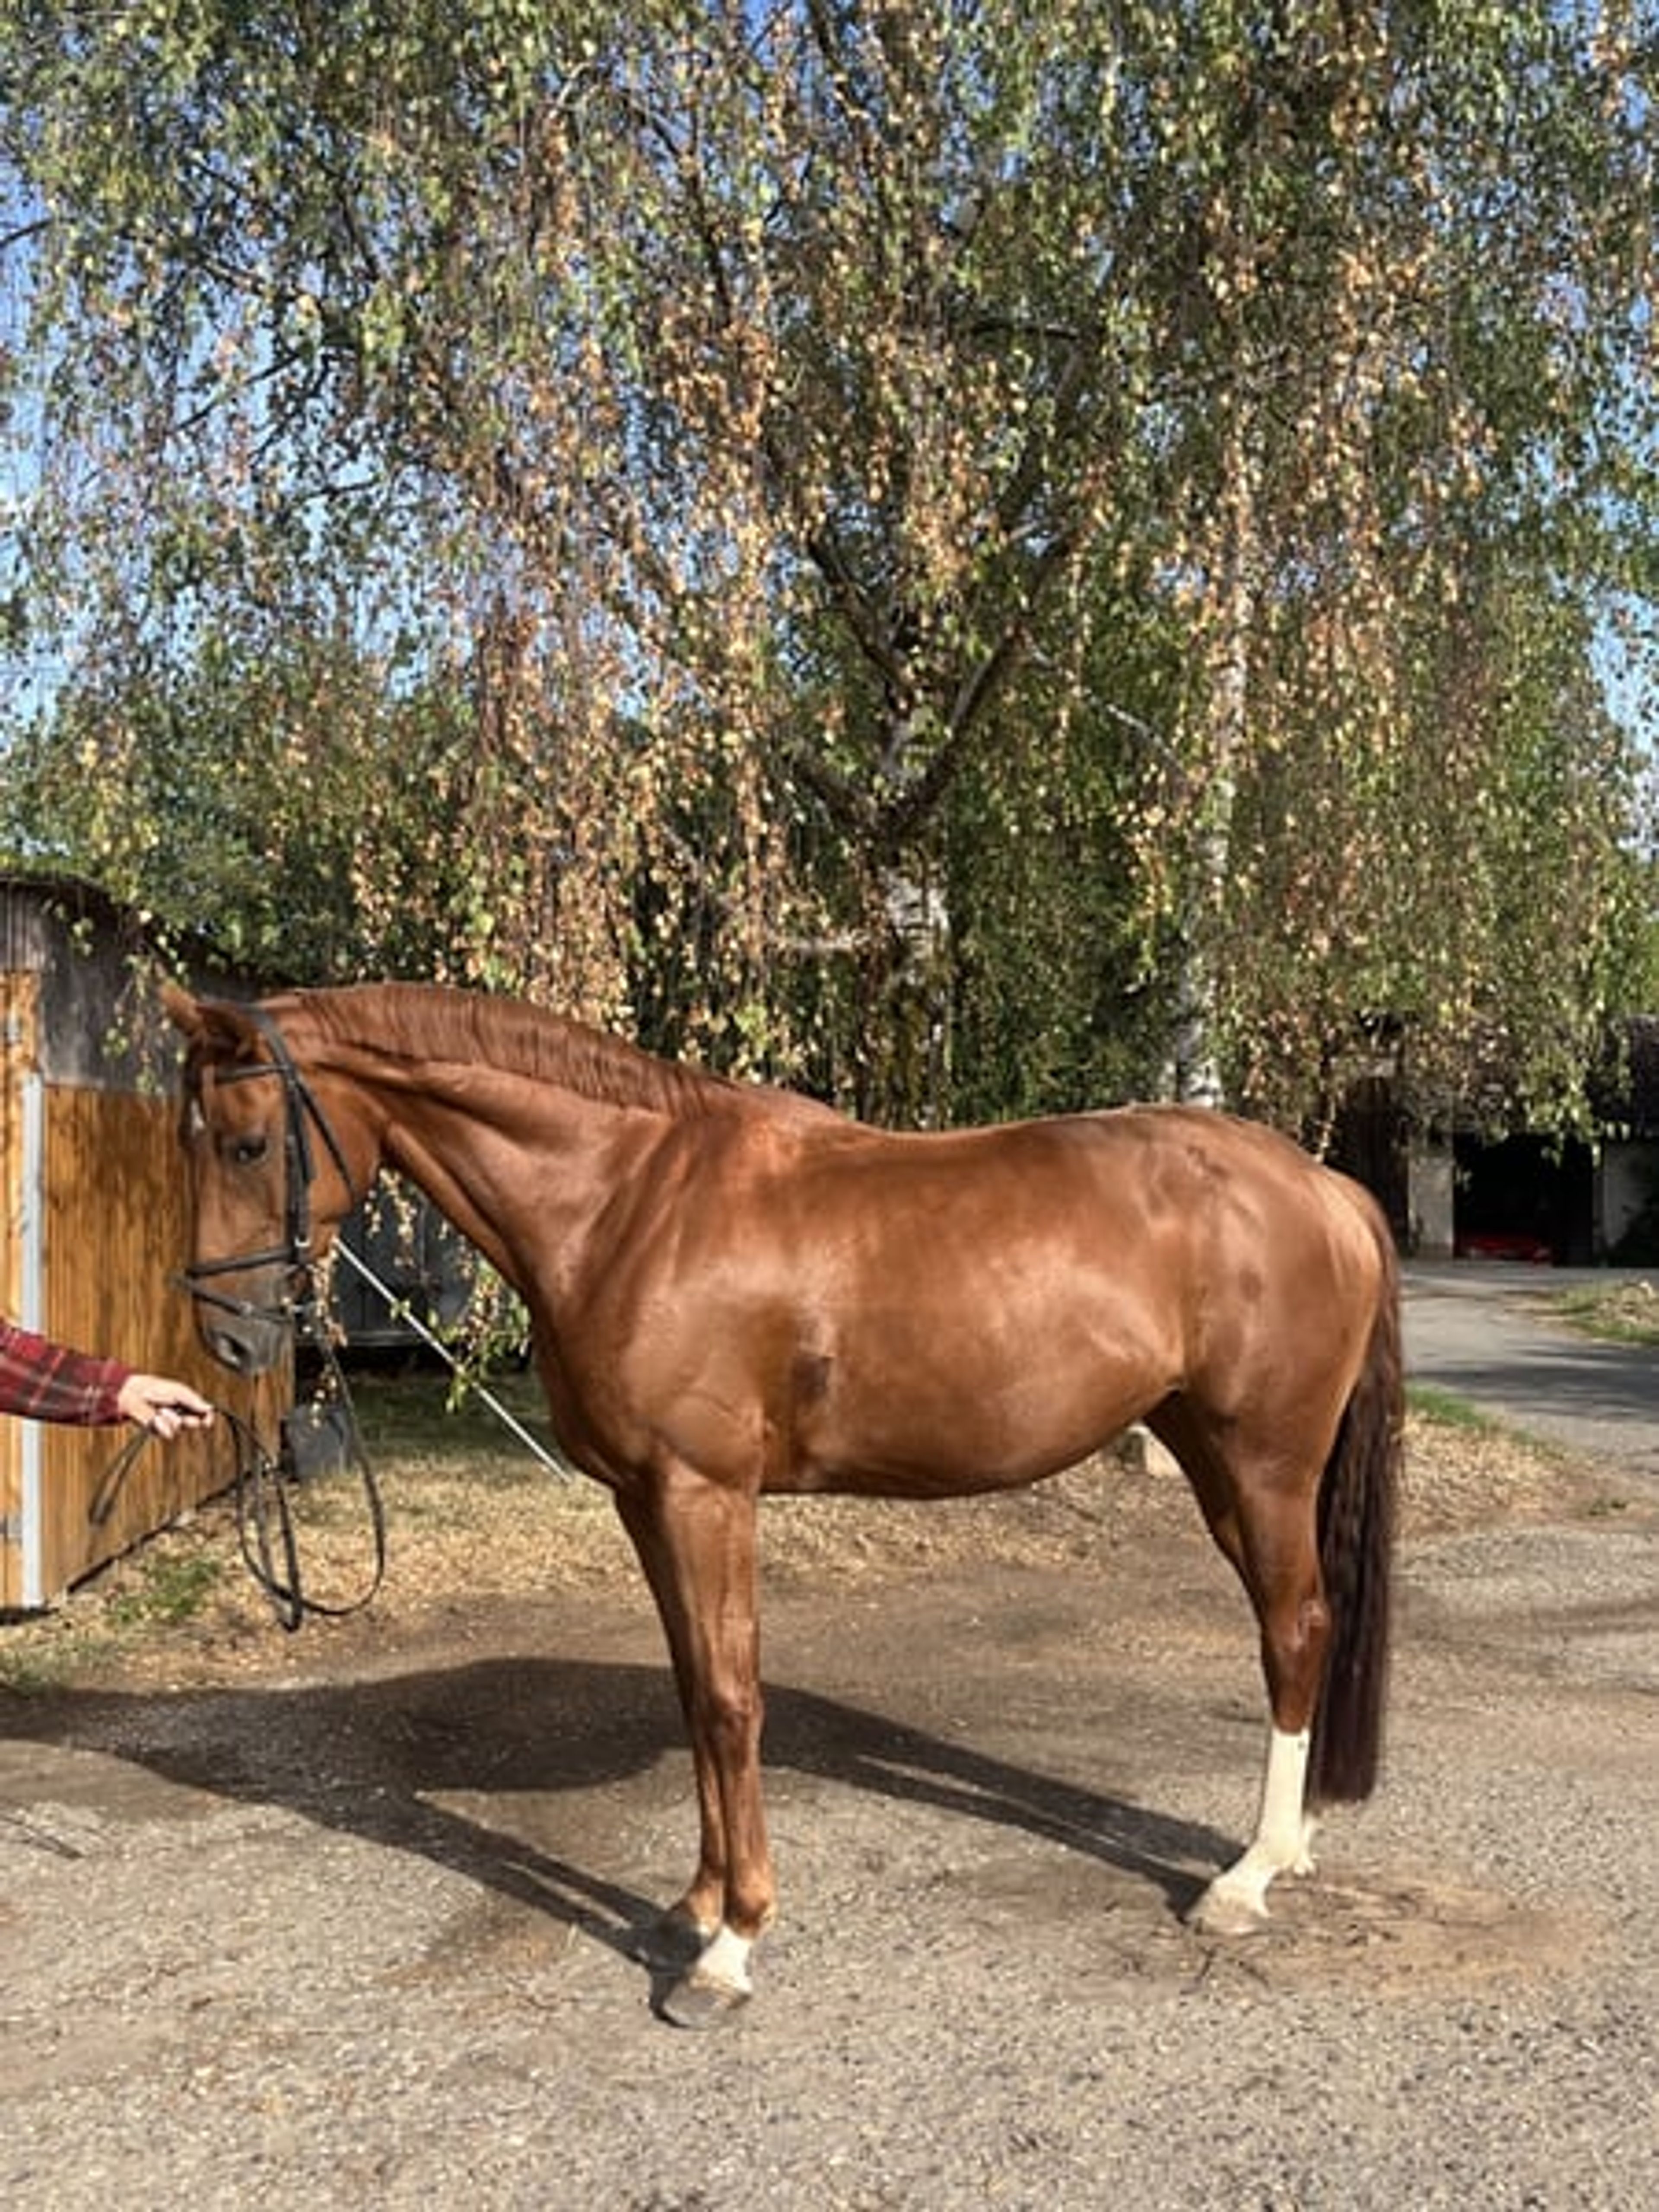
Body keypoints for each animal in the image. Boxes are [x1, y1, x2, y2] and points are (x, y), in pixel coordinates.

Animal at [162, 980, 1399, 2027]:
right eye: (193, 1140)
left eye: (249, 1141)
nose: (229, 1342)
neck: (627, 1202)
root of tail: (1325, 1187)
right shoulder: (646, 1501)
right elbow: (690, 1689)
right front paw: (699, 1903)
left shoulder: (705, 1494)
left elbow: (727, 1699)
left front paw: (730, 1948)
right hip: (1212, 1456)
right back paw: (1288, 1848)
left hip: (1261, 1464)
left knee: (1294, 1628)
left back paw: (1245, 1879)